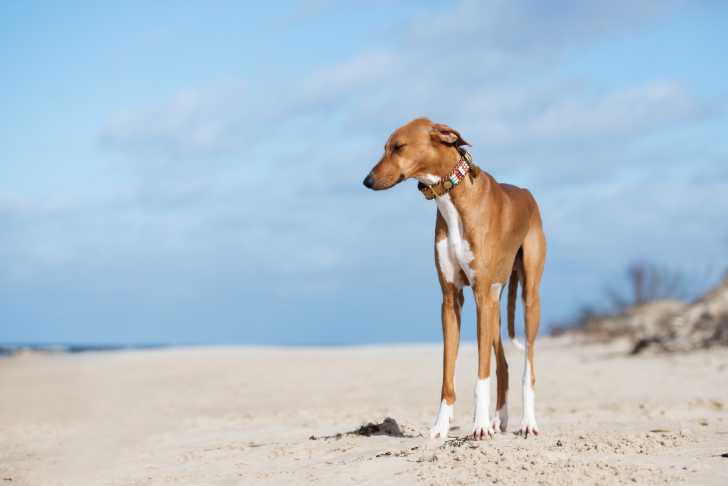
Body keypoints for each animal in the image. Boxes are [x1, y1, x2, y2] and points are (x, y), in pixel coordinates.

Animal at [362, 118, 546, 440]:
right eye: (385, 147)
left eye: (398, 146)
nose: (367, 181)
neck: (453, 199)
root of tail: (526, 193)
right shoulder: (451, 300)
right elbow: (447, 372)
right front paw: (440, 427)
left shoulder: (481, 295)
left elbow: (481, 375)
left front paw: (480, 425)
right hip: (495, 305)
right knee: (504, 365)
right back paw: (500, 419)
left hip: (527, 300)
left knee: (528, 368)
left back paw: (527, 422)